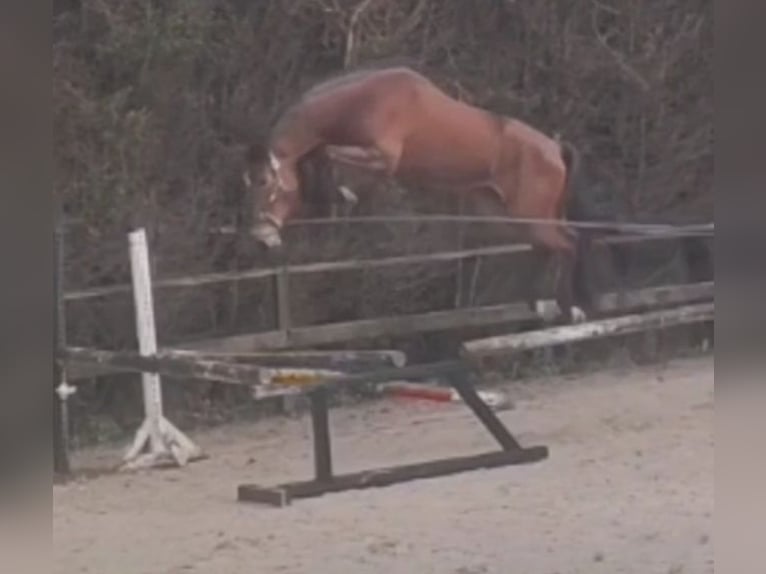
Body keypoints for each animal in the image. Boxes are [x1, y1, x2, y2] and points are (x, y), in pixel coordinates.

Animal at [242, 66, 599, 324]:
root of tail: (554, 149)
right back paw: (540, 305)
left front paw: (340, 194)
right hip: (507, 213)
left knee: (568, 243)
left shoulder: (382, 157)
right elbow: (319, 155)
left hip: (530, 214)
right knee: (546, 247)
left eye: (266, 184)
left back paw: (570, 310)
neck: (362, 101)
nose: (260, 239)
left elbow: (327, 153)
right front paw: (332, 194)